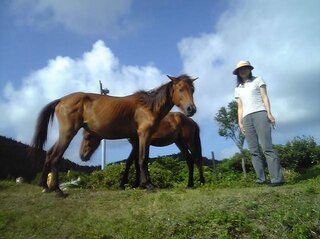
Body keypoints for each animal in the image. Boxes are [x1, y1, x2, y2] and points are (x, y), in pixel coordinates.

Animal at [33, 74, 198, 196]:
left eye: (192, 89)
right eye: (180, 89)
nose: (191, 109)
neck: (148, 106)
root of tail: (61, 100)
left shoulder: (139, 139)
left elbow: (134, 161)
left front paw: (137, 184)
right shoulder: (144, 135)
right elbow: (142, 159)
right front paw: (148, 185)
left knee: (50, 153)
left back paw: (45, 186)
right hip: (68, 132)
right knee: (56, 156)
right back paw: (57, 190)